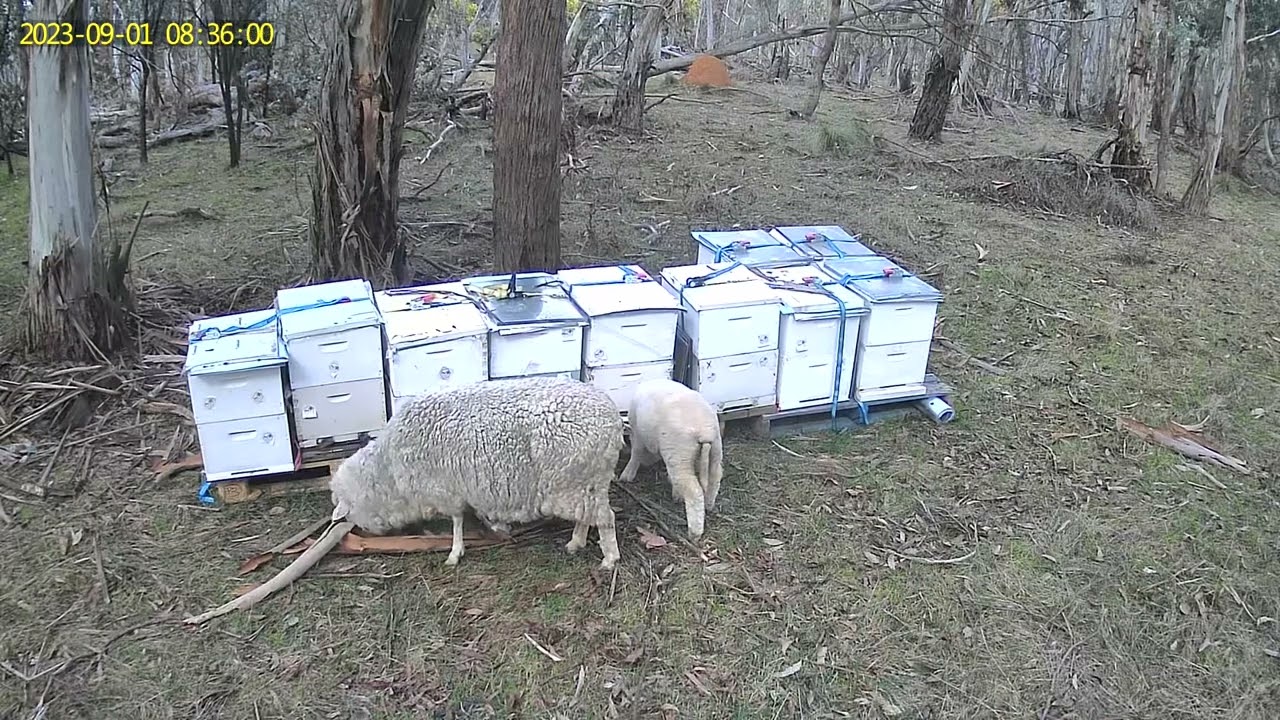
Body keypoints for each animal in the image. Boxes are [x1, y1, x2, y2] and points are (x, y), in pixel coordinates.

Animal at [328, 376, 624, 569]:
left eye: (350, 513)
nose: (365, 532)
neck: (389, 468)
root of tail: (613, 417)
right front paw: (496, 526)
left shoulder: (446, 490)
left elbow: (457, 521)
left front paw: (455, 552)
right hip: (585, 483)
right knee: (587, 516)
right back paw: (576, 542)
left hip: (575, 481)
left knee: (605, 518)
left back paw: (609, 559)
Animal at [619, 378, 724, 540]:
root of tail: (704, 431)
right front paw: (677, 494)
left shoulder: (637, 434)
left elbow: (636, 453)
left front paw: (626, 475)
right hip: (715, 451)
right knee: (715, 477)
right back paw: (708, 506)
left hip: (680, 453)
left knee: (694, 491)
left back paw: (694, 533)